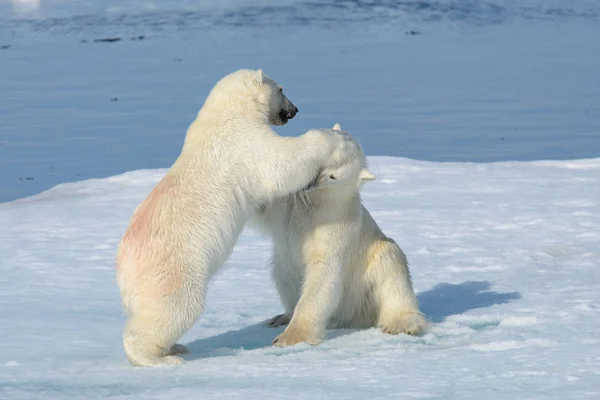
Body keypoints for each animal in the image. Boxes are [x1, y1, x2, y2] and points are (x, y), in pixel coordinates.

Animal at [115, 69, 364, 366]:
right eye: (281, 88)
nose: (294, 110)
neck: (225, 114)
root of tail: (123, 267)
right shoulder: (243, 143)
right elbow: (281, 163)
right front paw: (336, 139)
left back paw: (175, 347)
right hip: (172, 269)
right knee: (175, 307)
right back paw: (160, 357)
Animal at [253, 125, 426, 346]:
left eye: (333, 176)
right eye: (320, 165)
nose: (308, 184)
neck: (318, 200)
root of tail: (351, 317)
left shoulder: (335, 223)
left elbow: (323, 272)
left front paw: (289, 338)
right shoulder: (290, 207)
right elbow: (265, 205)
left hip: (371, 271)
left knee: (392, 267)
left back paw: (402, 324)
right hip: (283, 270)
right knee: (281, 274)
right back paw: (281, 317)